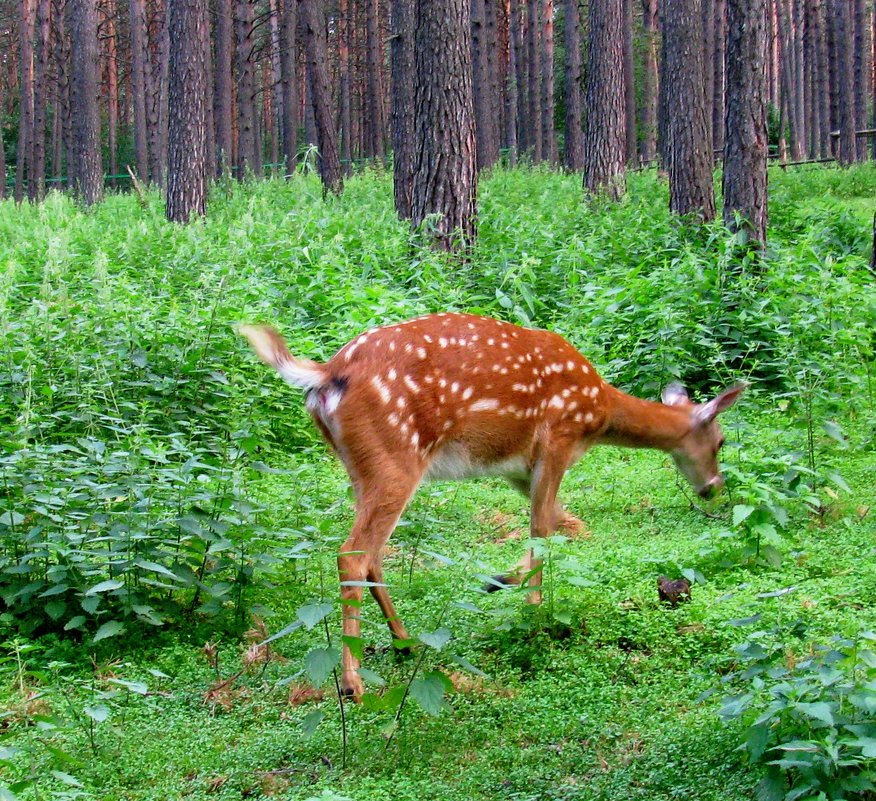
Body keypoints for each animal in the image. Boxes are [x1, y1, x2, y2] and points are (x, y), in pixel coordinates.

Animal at [236, 310, 744, 696]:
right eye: (720, 441)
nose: (713, 487)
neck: (598, 412)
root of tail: (325, 373)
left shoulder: (519, 469)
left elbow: (565, 524)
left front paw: (501, 582)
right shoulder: (558, 439)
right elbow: (543, 530)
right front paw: (534, 613)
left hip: (359, 467)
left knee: (373, 554)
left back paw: (405, 643)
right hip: (396, 457)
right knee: (353, 553)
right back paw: (353, 682)